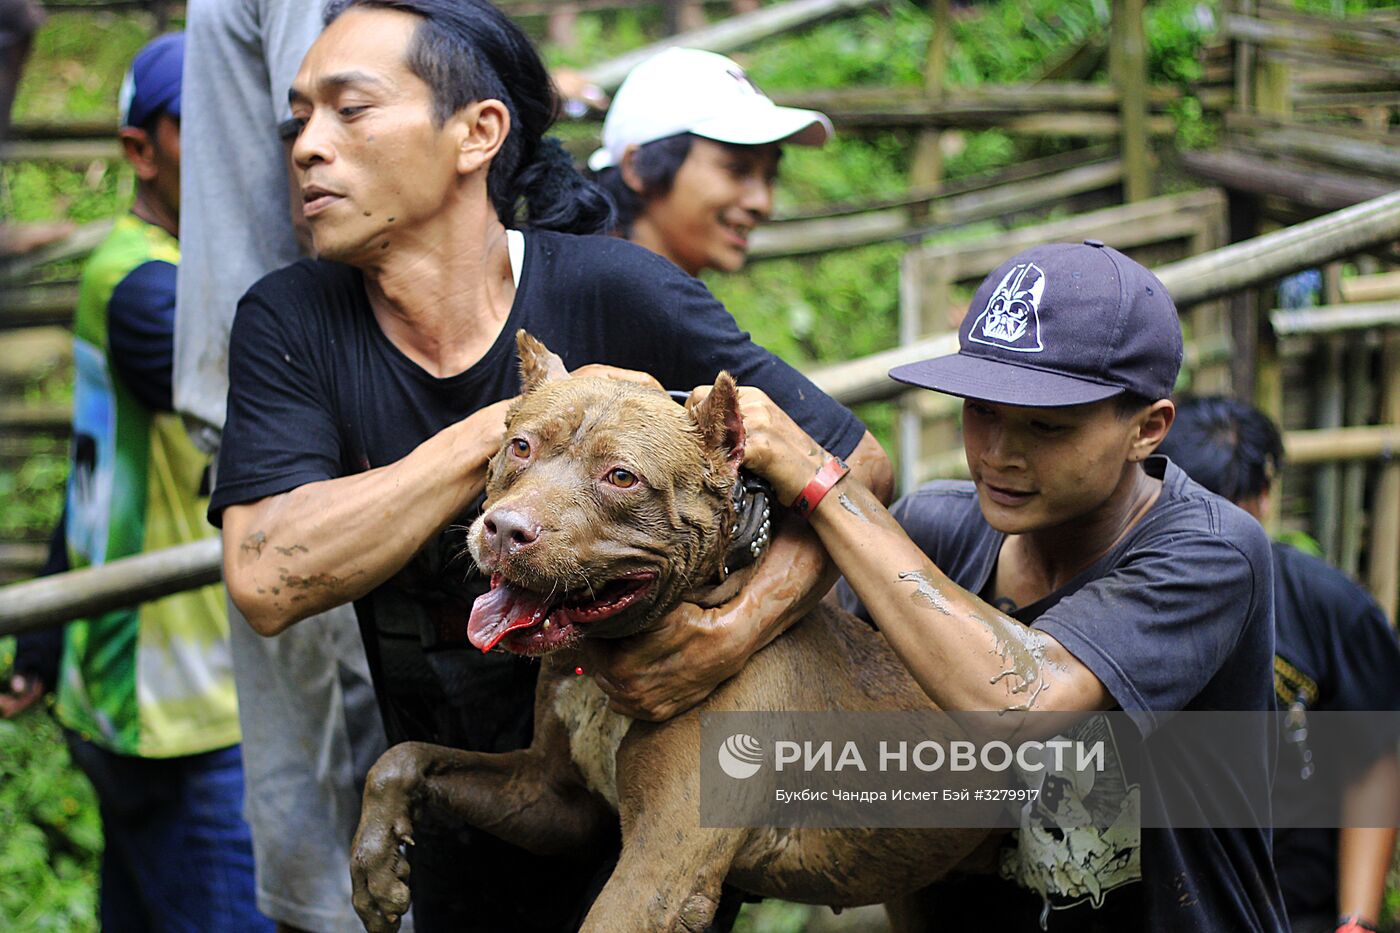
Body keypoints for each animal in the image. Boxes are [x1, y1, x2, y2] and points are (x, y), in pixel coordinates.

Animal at [345, 334, 991, 930]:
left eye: (622, 477)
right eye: (520, 446)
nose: (504, 530)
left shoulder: (658, 874)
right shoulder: (550, 797)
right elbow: (406, 756)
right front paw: (376, 863)